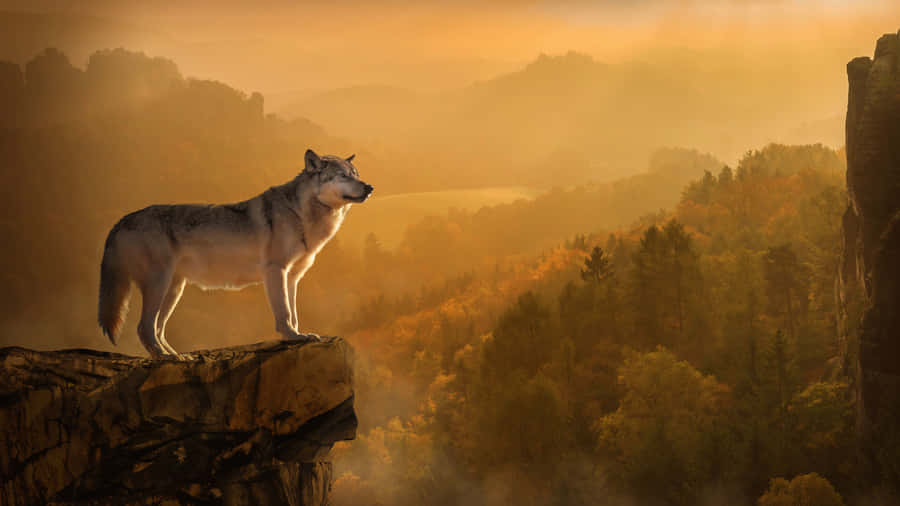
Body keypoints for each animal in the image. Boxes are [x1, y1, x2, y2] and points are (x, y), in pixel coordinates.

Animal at [97, 149, 373, 358]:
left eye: (356, 175)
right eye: (343, 176)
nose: (369, 187)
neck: (302, 214)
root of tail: (122, 220)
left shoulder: (293, 277)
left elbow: (293, 313)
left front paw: (298, 335)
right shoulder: (276, 271)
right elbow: (284, 313)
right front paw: (293, 337)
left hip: (174, 290)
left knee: (157, 329)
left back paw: (176, 356)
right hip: (159, 285)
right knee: (144, 328)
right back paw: (167, 358)